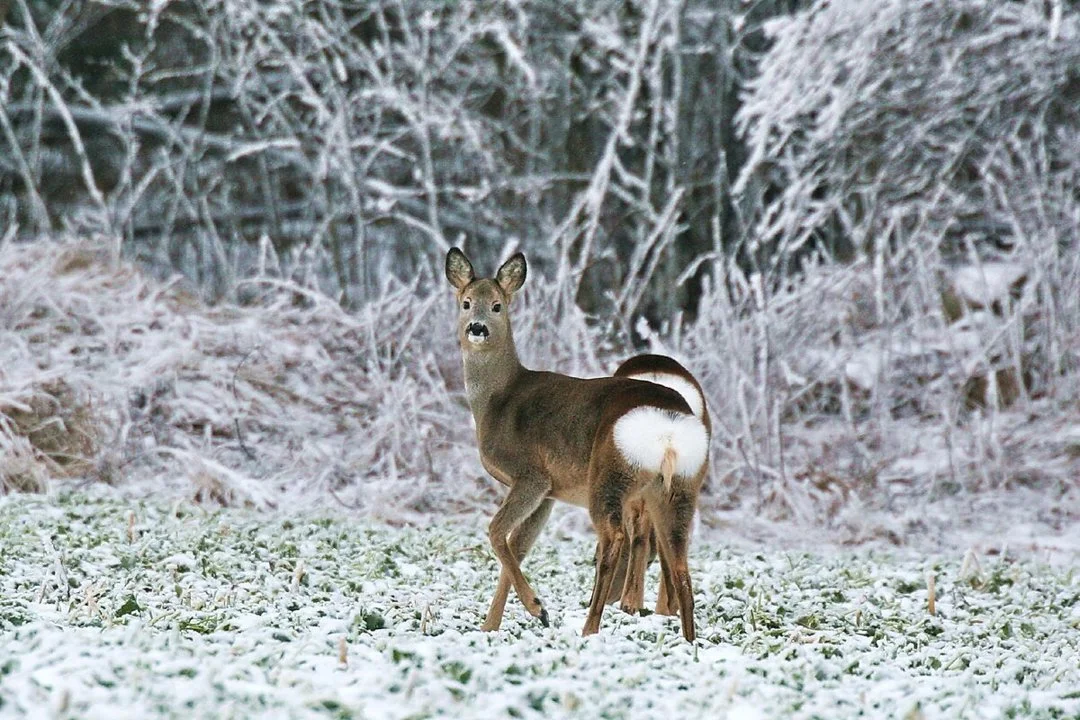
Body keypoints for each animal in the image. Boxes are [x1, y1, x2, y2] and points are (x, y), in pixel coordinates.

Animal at [445, 247, 710, 641]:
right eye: (465, 303)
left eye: (497, 306)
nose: (477, 328)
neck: (498, 399)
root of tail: (667, 429)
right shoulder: (550, 491)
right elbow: (517, 547)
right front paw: (491, 625)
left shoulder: (530, 475)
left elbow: (496, 533)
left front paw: (536, 609)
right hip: (680, 486)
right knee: (679, 559)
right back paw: (687, 641)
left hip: (609, 476)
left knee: (615, 538)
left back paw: (590, 626)